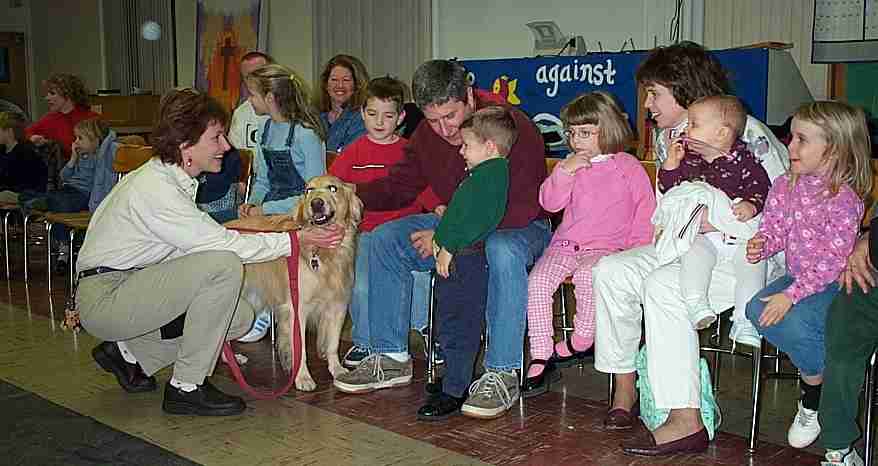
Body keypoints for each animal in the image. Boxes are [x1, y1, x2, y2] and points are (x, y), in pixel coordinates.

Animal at [229, 174, 366, 390]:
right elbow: (299, 349)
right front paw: (302, 378)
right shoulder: (297, 309)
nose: (316, 203)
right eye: (308, 190)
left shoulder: (338, 305)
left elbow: (333, 343)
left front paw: (336, 369)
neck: (324, 253)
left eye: (333, 188)